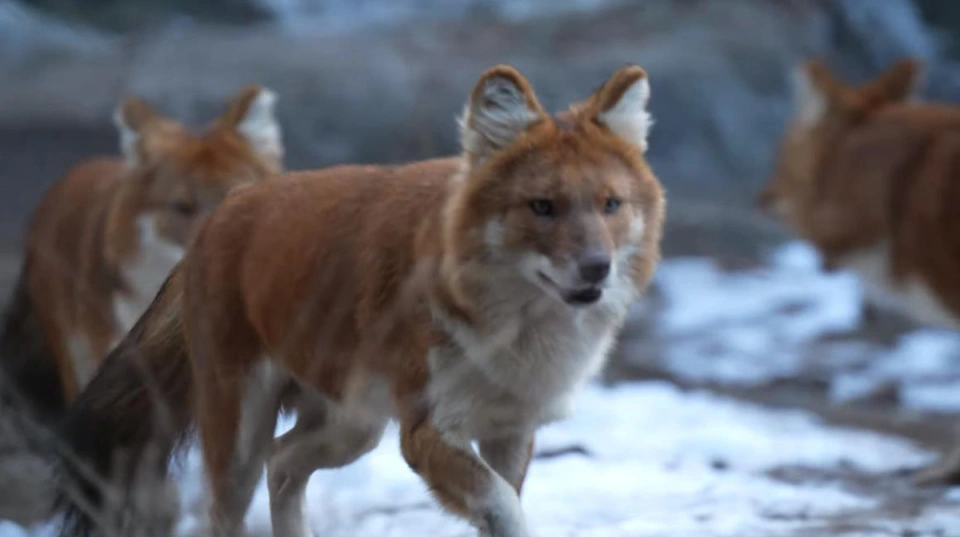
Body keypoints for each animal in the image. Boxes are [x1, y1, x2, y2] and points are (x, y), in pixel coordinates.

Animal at [56, 66, 664, 536]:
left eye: (610, 204)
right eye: (542, 206)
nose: (597, 267)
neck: (521, 330)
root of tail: (224, 209)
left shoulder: (511, 431)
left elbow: (505, 498)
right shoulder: (425, 430)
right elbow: (504, 506)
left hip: (353, 427)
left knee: (284, 462)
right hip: (241, 436)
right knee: (227, 508)